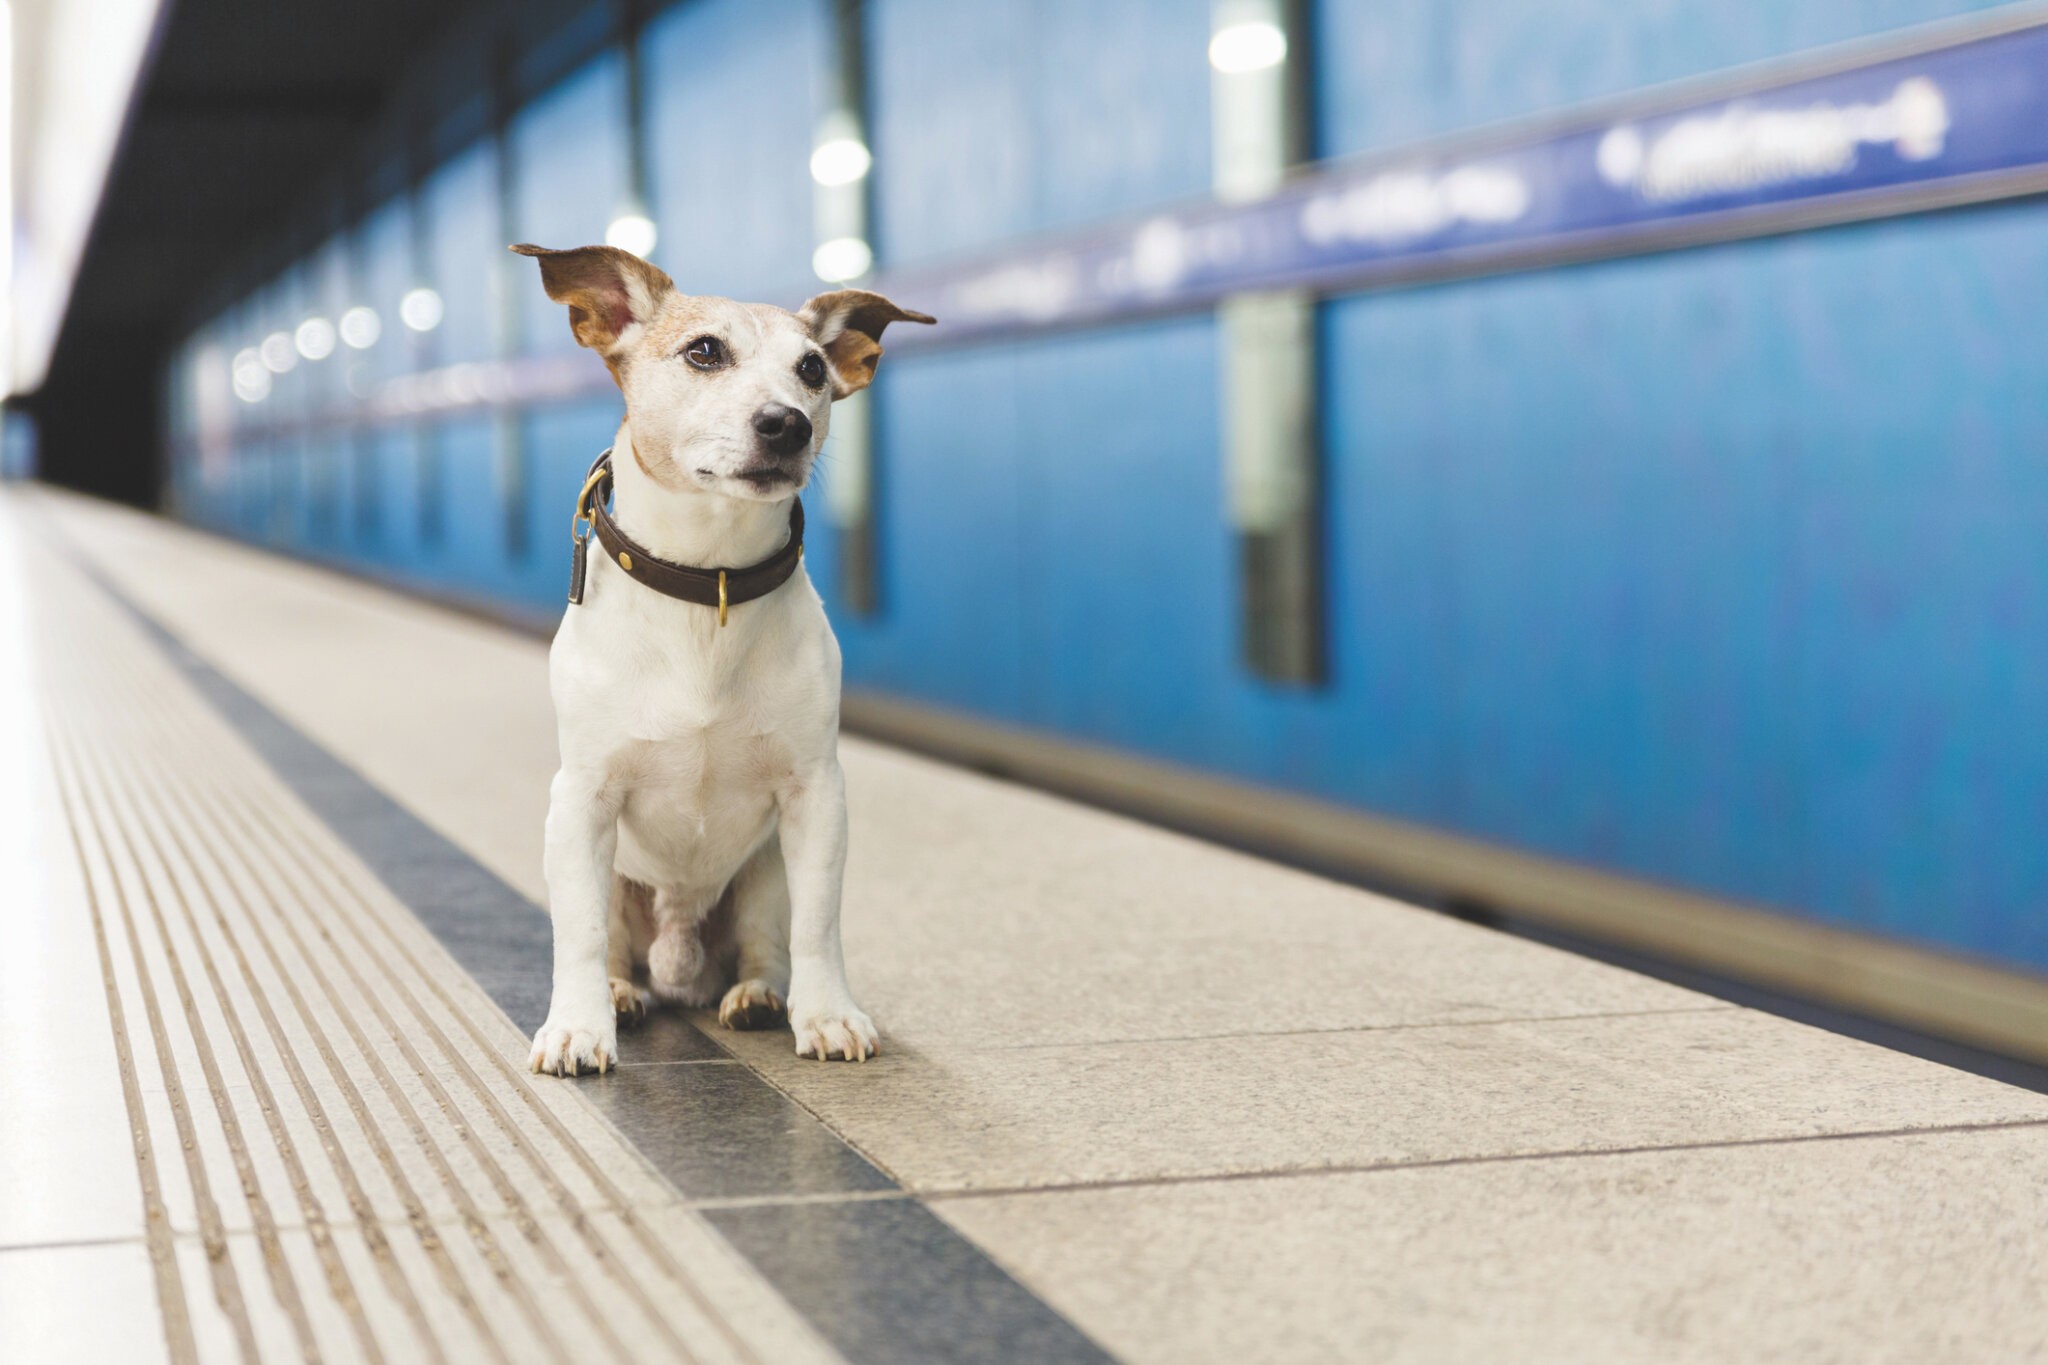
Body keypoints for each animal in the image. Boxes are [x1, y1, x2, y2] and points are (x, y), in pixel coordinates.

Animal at [507, 242, 933, 1080]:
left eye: (812, 369)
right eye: (704, 352)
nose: (786, 424)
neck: (712, 583)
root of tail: (682, 967)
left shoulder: (816, 796)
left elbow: (820, 925)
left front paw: (827, 1012)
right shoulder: (580, 799)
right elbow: (578, 935)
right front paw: (577, 1027)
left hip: (764, 874)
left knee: (770, 944)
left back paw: (758, 996)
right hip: (617, 876)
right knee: (614, 946)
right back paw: (623, 995)